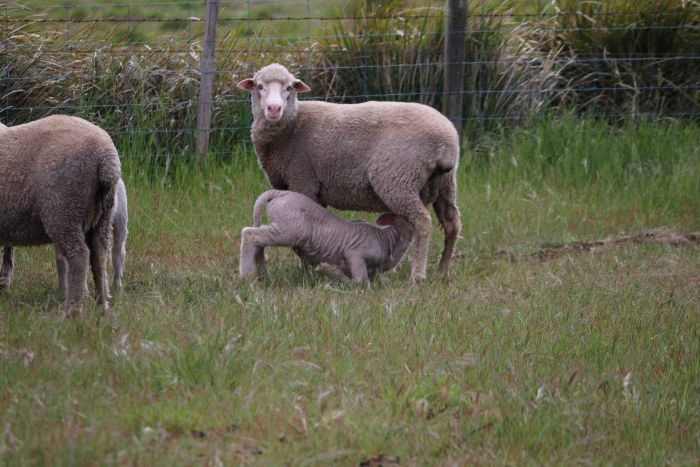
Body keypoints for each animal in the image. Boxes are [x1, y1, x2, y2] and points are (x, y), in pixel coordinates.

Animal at [0, 115, 121, 314]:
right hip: (102, 214)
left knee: (79, 256)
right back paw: (102, 307)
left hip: (64, 210)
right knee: (99, 256)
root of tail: (106, 157)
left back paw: (73, 310)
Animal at [239, 190, 414, 283]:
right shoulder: (355, 253)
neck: (388, 240)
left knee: (259, 240)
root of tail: (278, 193)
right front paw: (332, 273)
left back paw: (262, 276)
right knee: (249, 233)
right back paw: (247, 276)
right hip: (289, 230)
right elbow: (360, 280)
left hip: (281, 227)